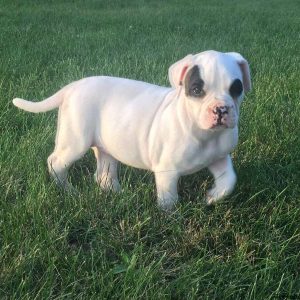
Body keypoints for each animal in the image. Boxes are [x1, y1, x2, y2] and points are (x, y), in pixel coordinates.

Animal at [12, 50, 251, 211]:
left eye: (236, 89)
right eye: (196, 90)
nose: (221, 109)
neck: (204, 133)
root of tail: (73, 86)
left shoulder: (219, 158)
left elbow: (229, 180)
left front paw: (212, 196)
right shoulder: (167, 171)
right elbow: (169, 199)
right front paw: (171, 220)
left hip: (105, 147)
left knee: (103, 173)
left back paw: (116, 193)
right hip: (75, 140)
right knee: (56, 161)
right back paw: (68, 191)